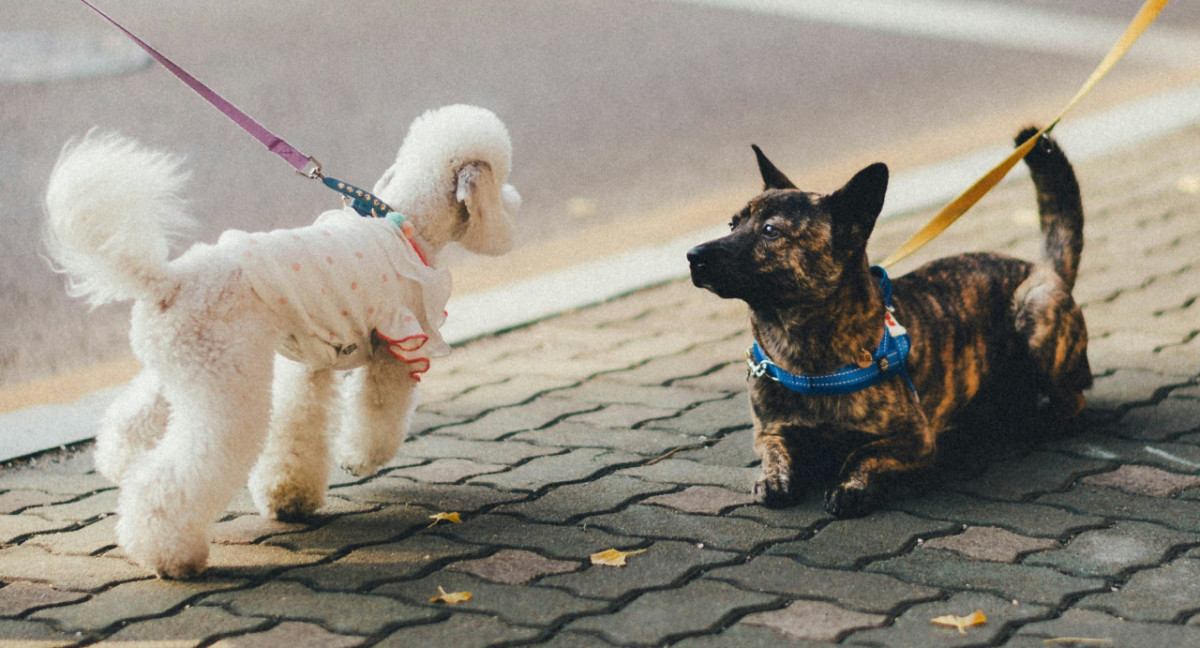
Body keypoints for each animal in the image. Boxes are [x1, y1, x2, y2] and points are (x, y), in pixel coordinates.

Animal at [686, 129, 1089, 518]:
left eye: (771, 231)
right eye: (732, 224)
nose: (693, 256)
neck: (801, 348)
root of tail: (1044, 269)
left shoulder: (916, 438)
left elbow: (862, 452)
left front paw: (850, 486)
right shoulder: (769, 432)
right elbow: (775, 451)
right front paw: (773, 478)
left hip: (1035, 315)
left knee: (1073, 400)